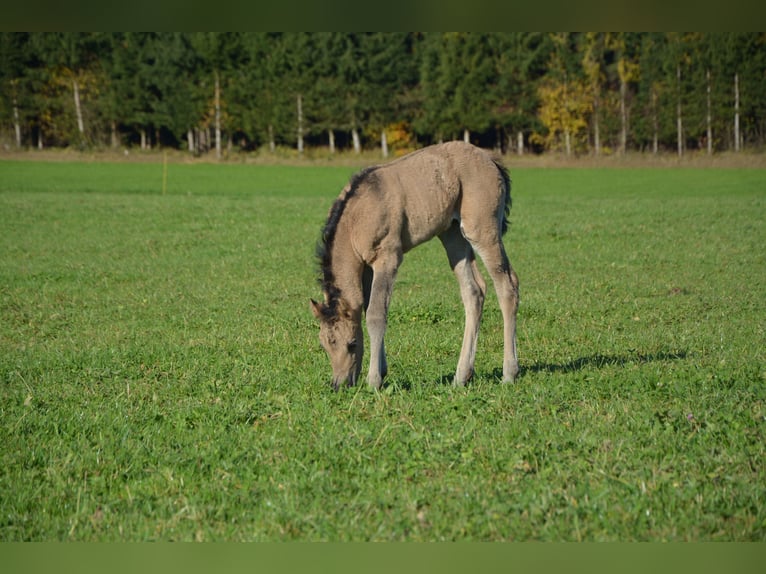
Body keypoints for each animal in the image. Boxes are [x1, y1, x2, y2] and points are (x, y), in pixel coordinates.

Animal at [311, 141, 519, 390]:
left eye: (351, 344)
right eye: (324, 345)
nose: (339, 384)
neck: (356, 219)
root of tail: (491, 160)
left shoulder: (388, 258)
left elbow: (376, 314)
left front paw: (374, 380)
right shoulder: (367, 268)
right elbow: (368, 307)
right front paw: (381, 370)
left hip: (482, 230)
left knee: (508, 286)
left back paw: (509, 373)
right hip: (452, 236)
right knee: (474, 292)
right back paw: (461, 376)